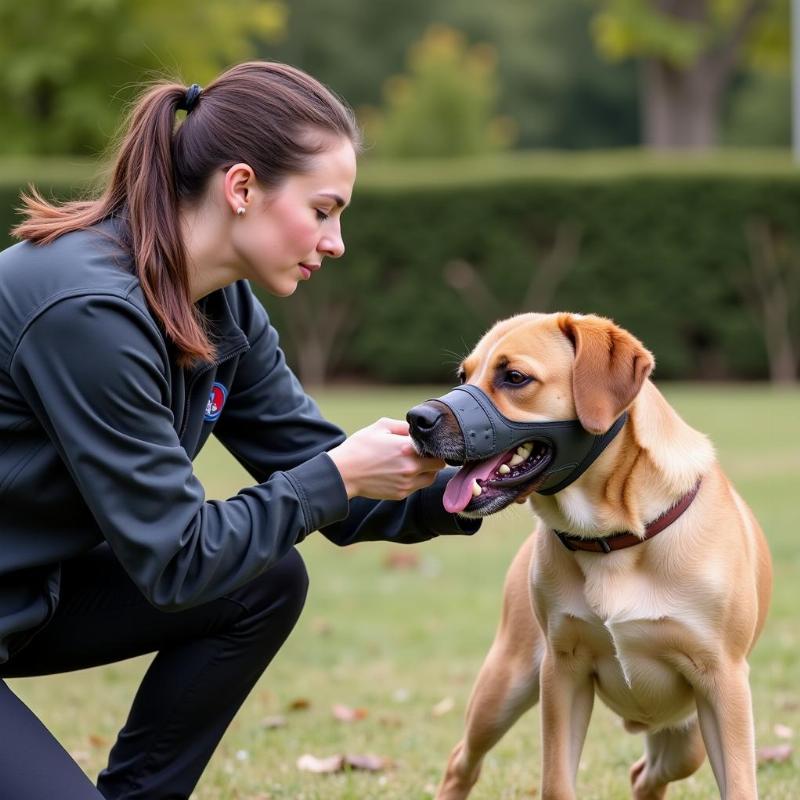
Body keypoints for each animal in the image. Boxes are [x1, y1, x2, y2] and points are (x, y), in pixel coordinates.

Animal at [410, 312, 772, 800]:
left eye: (514, 377)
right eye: (463, 376)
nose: (417, 418)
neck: (615, 539)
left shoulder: (723, 682)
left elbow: (739, 784)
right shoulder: (563, 672)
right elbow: (557, 782)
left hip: (688, 738)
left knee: (645, 774)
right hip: (504, 684)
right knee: (460, 762)